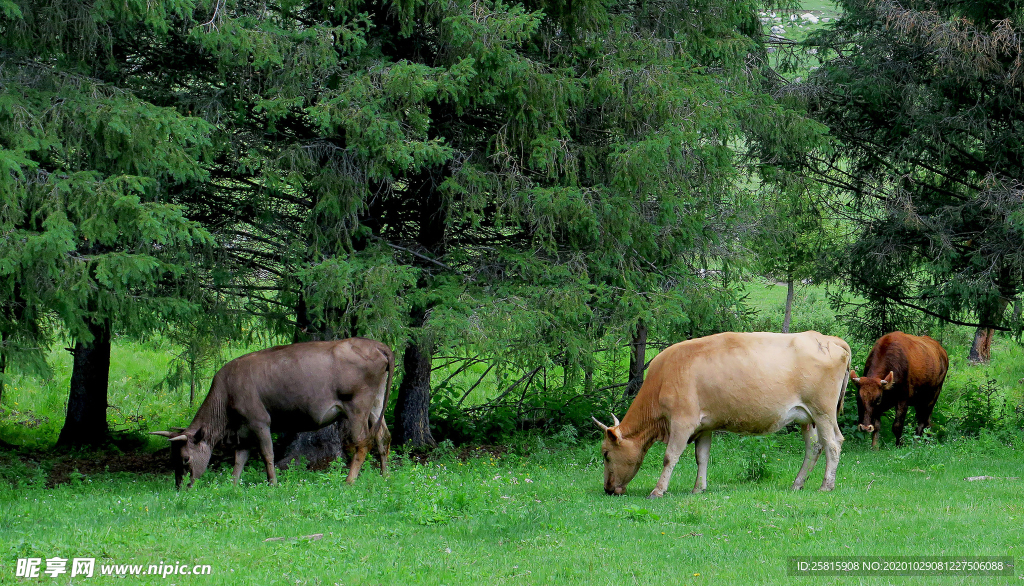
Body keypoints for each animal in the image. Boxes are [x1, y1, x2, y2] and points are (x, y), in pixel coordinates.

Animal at [150, 336, 391, 487]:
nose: (181, 487)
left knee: (363, 442)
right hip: (376, 404)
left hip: (357, 407)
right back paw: (384, 475)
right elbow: (239, 459)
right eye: (172, 458)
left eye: (185, 459)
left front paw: (273, 483)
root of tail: (377, 345)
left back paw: (349, 481)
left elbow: (268, 454)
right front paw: (233, 485)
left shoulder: (260, 422)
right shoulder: (244, 432)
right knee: (383, 437)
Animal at [593, 331, 847, 495]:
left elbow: (670, 456)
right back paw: (797, 483)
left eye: (606, 454)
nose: (607, 489)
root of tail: (829, 339)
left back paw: (826, 486)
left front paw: (658, 490)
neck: (663, 377)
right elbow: (702, 456)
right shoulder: (705, 426)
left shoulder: (682, 422)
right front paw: (698, 488)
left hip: (823, 412)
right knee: (814, 447)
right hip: (807, 418)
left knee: (833, 444)